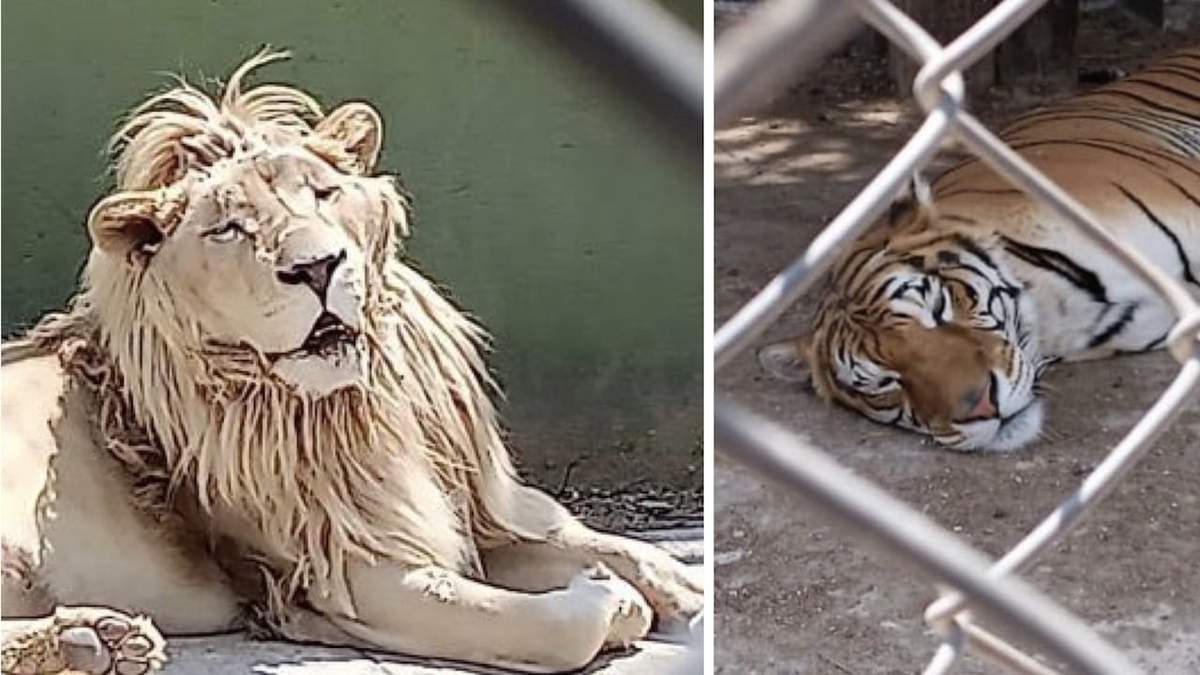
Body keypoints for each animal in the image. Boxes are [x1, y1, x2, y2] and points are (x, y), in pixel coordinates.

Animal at [0, 50, 703, 674]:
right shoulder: (348, 573)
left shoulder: (467, 514)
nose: (317, 267)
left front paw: (681, 590)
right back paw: (91, 641)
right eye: (227, 229)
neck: (360, 402)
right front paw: (609, 598)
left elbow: (610, 545)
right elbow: (556, 624)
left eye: (323, 193)